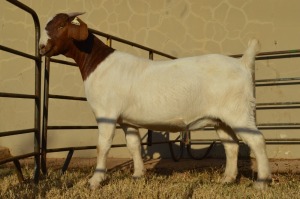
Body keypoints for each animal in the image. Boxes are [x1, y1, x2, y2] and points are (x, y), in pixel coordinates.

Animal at [39, 12, 272, 190]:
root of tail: (243, 63)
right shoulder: (127, 120)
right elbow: (133, 145)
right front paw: (138, 175)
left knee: (257, 140)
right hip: (220, 118)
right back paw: (227, 179)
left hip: (238, 111)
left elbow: (102, 146)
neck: (96, 63)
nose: (41, 48)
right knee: (231, 145)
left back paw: (261, 182)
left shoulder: (107, 113)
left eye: (61, 25)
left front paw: (95, 181)